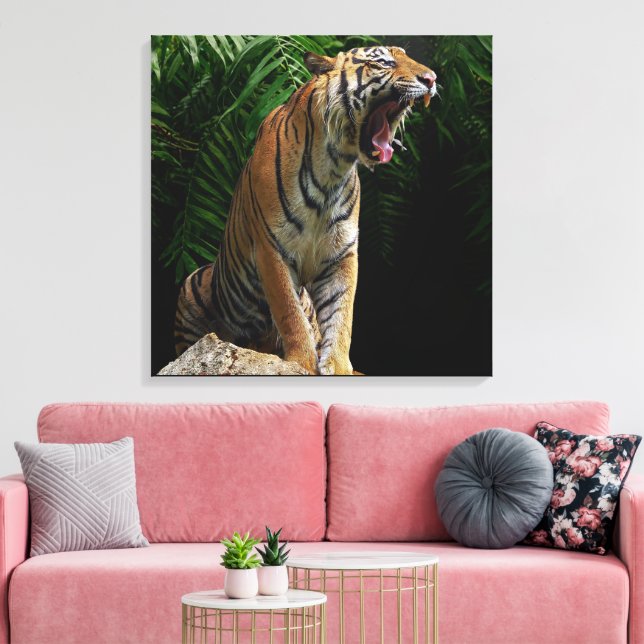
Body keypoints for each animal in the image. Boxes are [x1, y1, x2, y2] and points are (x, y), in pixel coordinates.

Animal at [174, 45, 437, 374]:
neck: (334, 167)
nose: (432, 79)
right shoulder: (271, 248)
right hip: (191, 289)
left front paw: (337, 366)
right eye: (383, 62)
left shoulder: (342, 254)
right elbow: (289, 312)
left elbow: (341, 315)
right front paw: (302, 362)